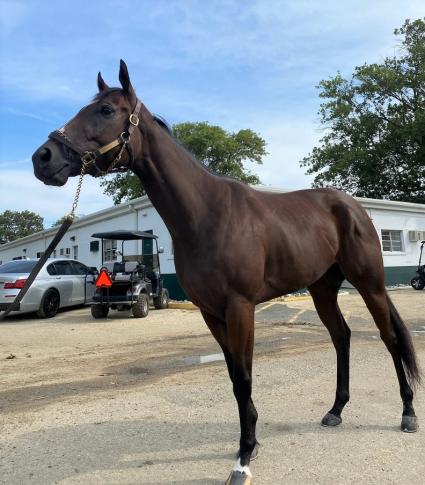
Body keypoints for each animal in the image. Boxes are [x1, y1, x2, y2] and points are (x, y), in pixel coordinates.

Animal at [31, 61, 420, 484]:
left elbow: (246, 377)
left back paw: (408, 413)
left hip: (370, 284)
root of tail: (353, 207)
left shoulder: (240, 308)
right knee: (342, 337)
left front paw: (243, 459)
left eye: (105, 110)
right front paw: (251, 442)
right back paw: (335, 410)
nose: (43, 157)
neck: (207, 214)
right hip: (321, 289)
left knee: (389, 338)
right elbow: (235, 378)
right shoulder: (211, 313)